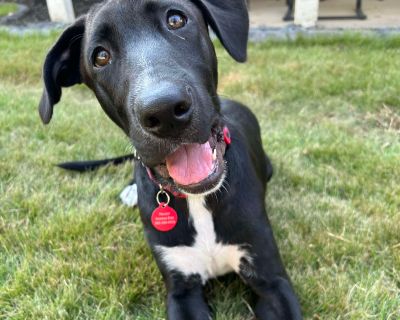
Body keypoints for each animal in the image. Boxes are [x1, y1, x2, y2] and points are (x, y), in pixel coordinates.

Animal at [39, 0, 302, 318]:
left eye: (176, 19)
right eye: (100, 57)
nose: (163, 111)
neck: (198, 200)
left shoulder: (272, 280)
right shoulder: (181, 289)